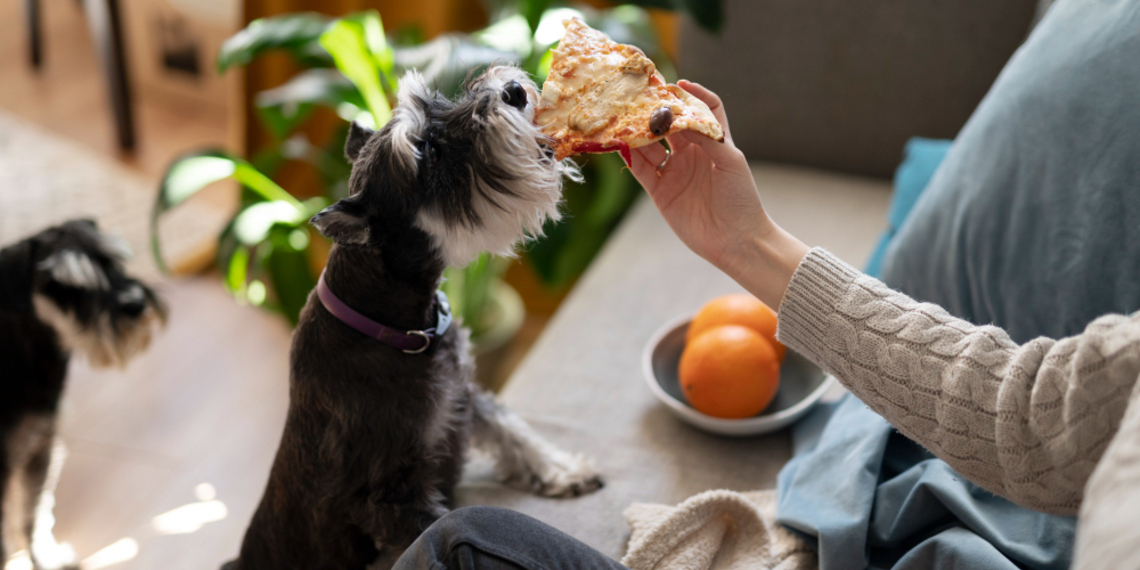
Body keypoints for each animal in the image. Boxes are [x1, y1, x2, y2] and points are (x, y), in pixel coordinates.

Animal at [0, 218, 166, 570]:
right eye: (65, 287)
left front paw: (45, 559)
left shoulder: (41, 448)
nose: (135, 304)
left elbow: (33, 514)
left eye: (113, 261)